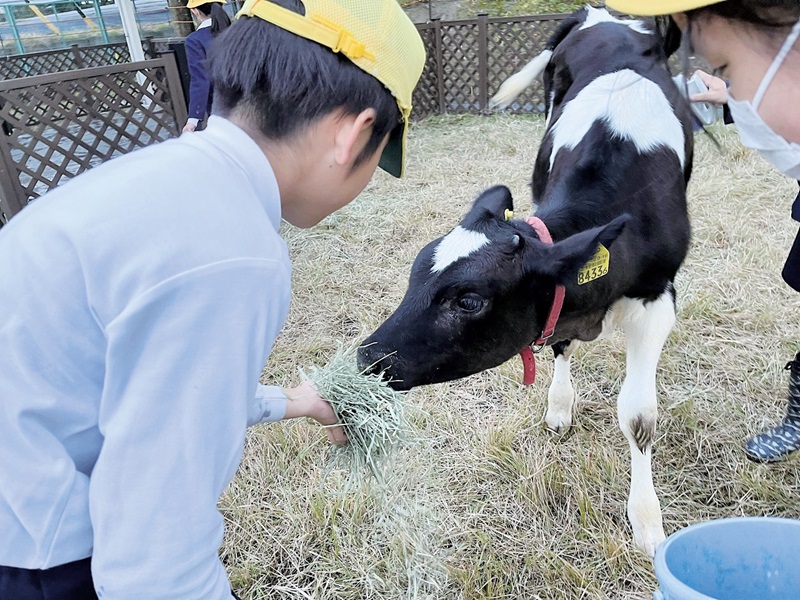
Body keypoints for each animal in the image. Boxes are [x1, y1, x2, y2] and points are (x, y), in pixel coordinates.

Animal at [360, 5, 692, 556]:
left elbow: (638, 417)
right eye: (414, 272)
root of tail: (604, 16)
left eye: (469, 301)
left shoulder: (656, 297)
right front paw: (560, 406)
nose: (368, 357)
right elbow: (559, 340)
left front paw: (646, 520)